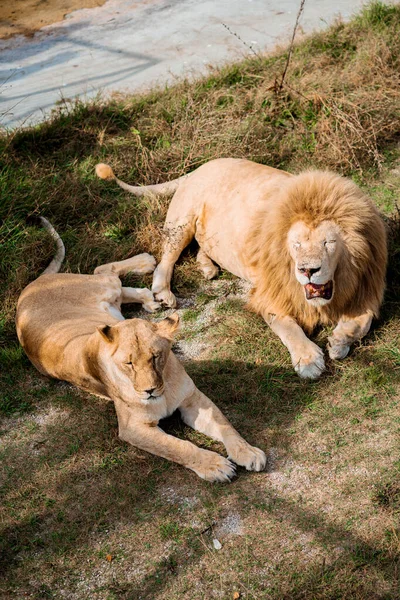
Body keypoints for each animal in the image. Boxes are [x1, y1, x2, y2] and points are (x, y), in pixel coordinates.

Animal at [16, 218, 266, 480]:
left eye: (156, 357)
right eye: (128, 364)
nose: (149, 391)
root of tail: (29, 286)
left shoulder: (192, 398)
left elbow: (225, 425)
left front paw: (247, 452)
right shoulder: (133, 428)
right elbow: (179, 447)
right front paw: (215, 466)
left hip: (106, 294)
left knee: (111, 276)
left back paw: (150, 282)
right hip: (101, 289)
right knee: (104, 272)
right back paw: (148, 268)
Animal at [96, 157, 388, 378]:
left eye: (328, 243)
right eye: (296, 245)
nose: (308, 270)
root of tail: (200, 167)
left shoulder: (367, 286)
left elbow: (363, 321)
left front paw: (339, 342)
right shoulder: (270, 293)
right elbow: (288, 327)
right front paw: (308, 360)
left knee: (202, 247)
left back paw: (207, 268)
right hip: (180, 222)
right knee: (165, 260)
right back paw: (164, 293)